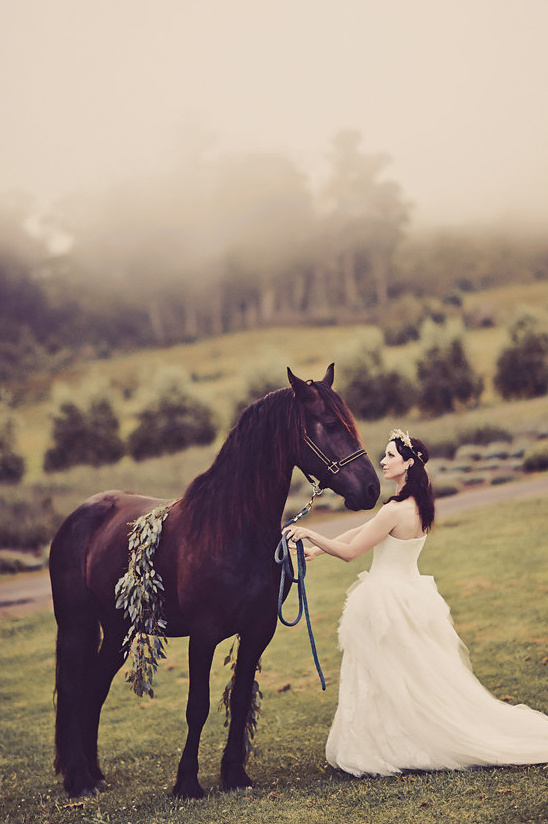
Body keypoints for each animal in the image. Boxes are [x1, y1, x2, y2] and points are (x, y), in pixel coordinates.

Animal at [49, 362, 378, 800]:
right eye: (328, 424)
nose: (372, 489)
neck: (230, 529)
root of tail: (76, 517)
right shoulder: (203, 636)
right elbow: (198, 707)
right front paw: (187, 783)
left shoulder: (258, 631)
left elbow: (238, 700)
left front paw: (234, 774)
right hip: (75, 626)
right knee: (72, 691)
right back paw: (80, 781)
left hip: (119, 628)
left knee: (94, 691)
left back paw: (95, 774)